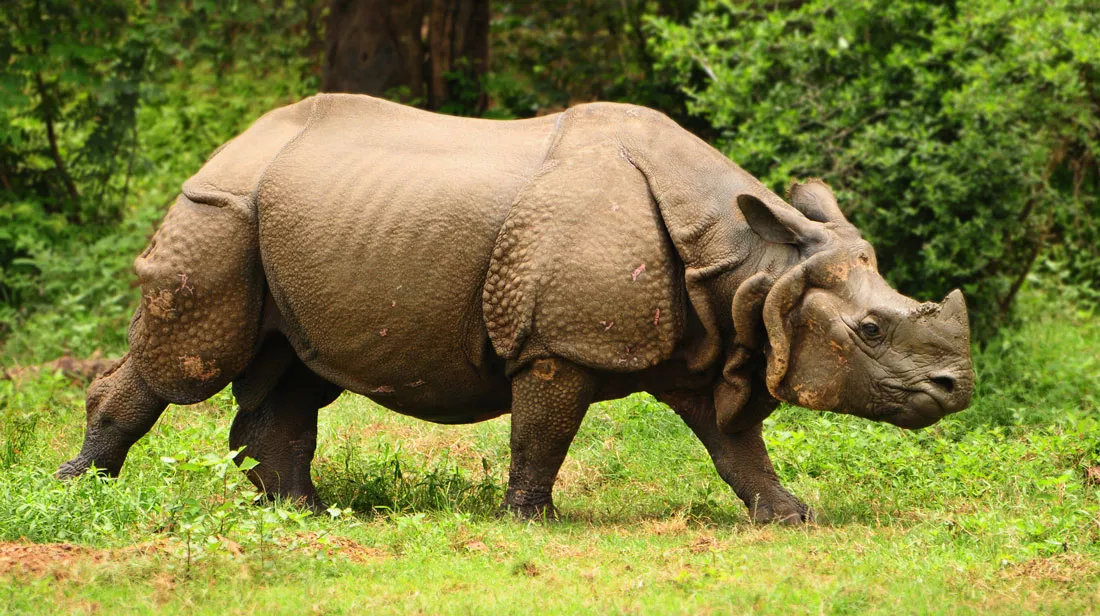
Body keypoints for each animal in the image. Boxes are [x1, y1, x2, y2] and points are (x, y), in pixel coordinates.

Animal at [58, 94, 973, 523]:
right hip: (219, 209)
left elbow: (737, 447)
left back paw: (305, 513)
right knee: (187, 362)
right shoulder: (559, 343)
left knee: (293, 371)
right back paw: (82, 491)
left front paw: (792, 517)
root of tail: (231, 145)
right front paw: (533, 521)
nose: (958, 388)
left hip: (286, 219)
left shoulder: (711, 343)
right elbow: (544, 432)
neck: (752, 265)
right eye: (872, 329)